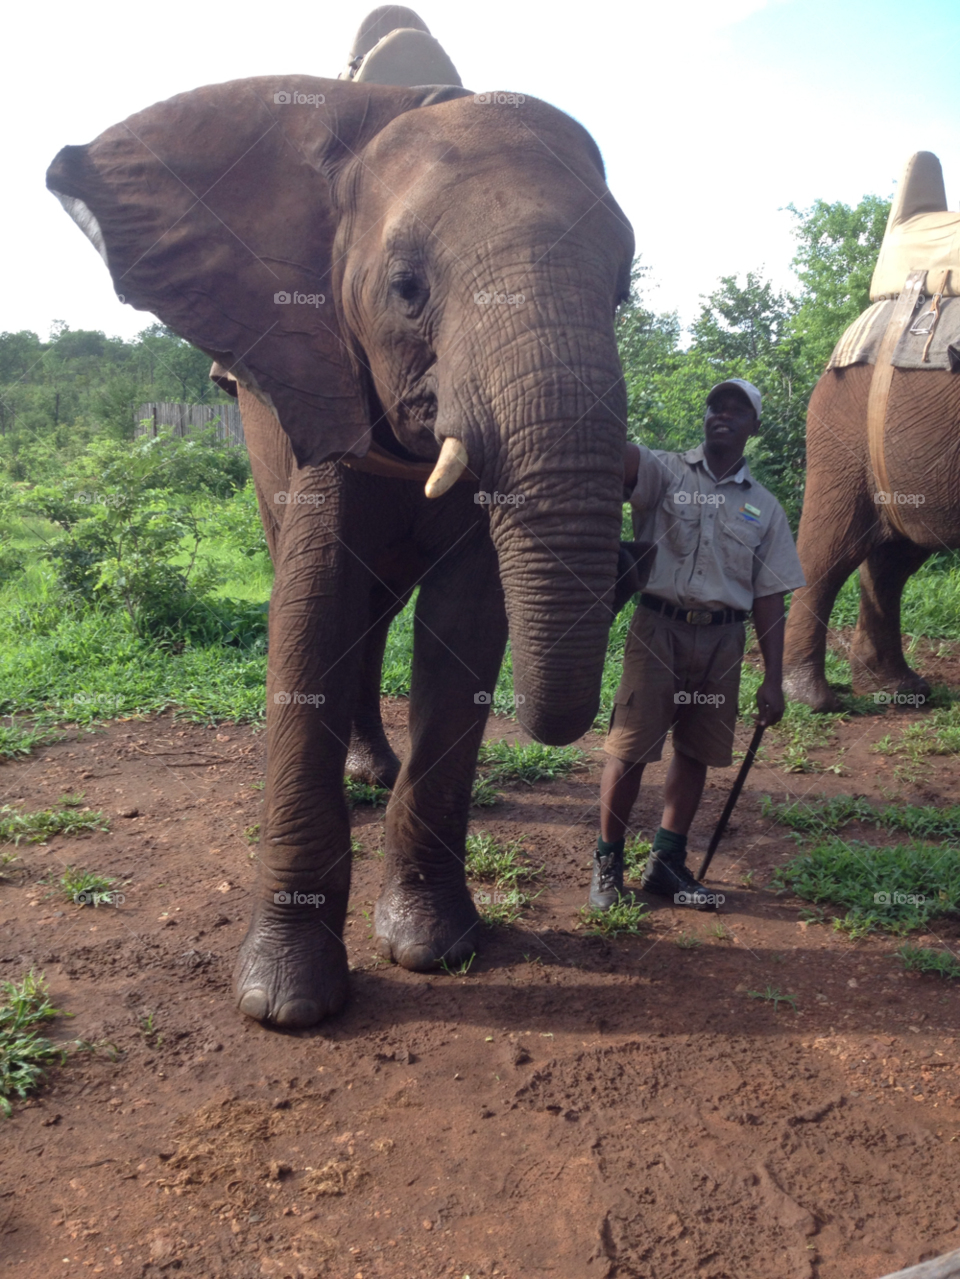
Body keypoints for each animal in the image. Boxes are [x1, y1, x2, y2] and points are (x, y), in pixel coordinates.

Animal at [46, 72, 639, 1028]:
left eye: (623, 288)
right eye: (406, 288)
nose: (628, 561)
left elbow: (465, 625)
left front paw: (434, 948)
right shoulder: (311, 379)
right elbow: (311, 609)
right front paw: (285, 1004)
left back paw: (375, 770)